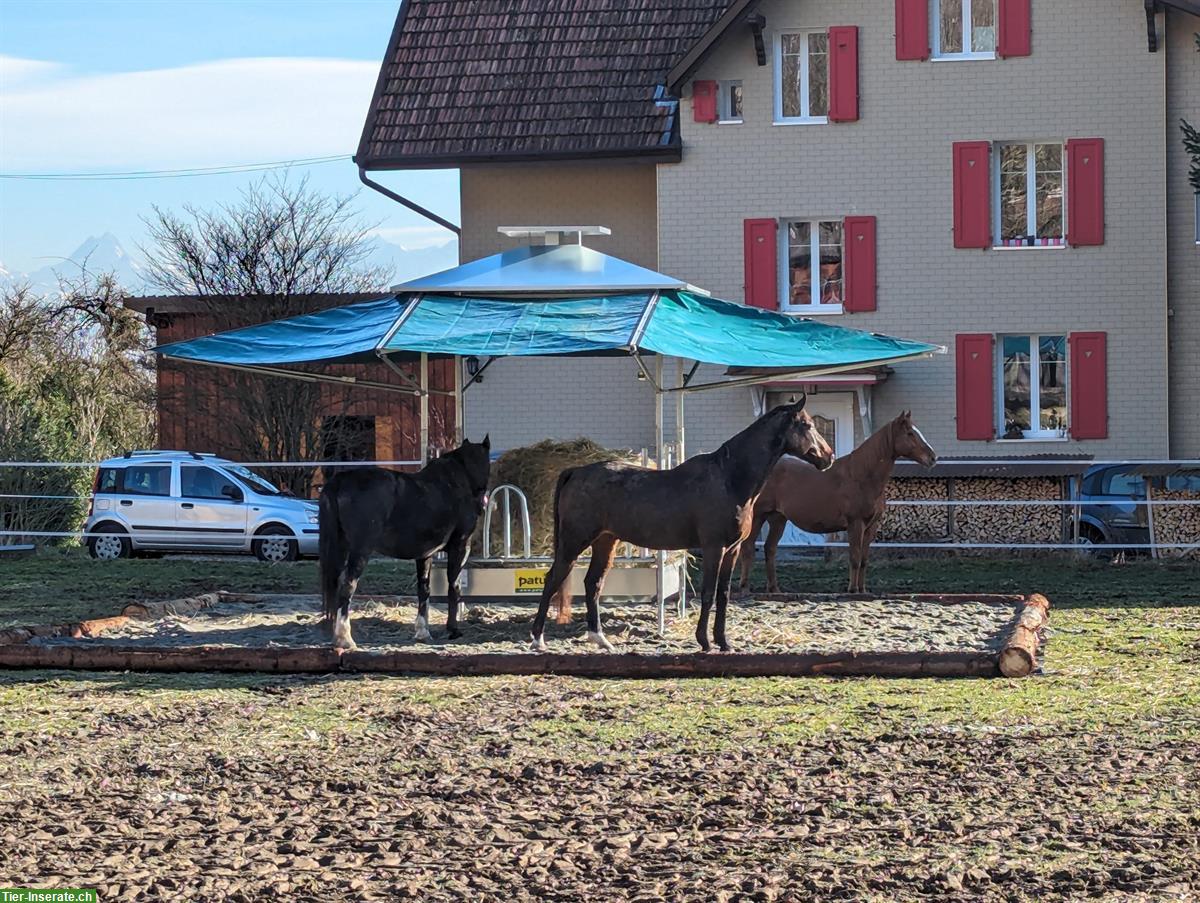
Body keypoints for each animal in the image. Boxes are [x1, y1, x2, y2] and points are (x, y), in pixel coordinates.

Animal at [319, 434, 492, 648]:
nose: (482, 504)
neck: (458, 482)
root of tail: (341, 480)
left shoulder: (425, 554)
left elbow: (424, 589)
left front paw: (423, 632)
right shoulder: (459, 546)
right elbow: (454, 585)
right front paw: (453, 629)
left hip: (341, 547)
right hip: (360, 550)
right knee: (347, 585)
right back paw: (345, 638)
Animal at [535, 398, 835, 653]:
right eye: (807, 425)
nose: (828, 457)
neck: (729, 479)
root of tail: (576, 471)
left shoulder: (733, 550)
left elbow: (724, 595)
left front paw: (724, 642)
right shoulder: (714, 548)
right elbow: (708, 593)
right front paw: (704, 642)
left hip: (605, 541)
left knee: (593, 583)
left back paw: (600, 640)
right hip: (574, 541)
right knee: (553, 579)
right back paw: (538, 639)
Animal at [729, 408, 936, 593]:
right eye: (910, 433)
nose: (933, 457)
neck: (861, 476)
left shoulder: (871, 526)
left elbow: (864, 560)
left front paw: (862, 590)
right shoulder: (856, 524)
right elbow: (855, 558)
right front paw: (852, 590)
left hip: (778, 519)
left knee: (770, 549)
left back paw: (774, 589)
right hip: (758, 517)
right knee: (748, 549)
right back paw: (745, 588)